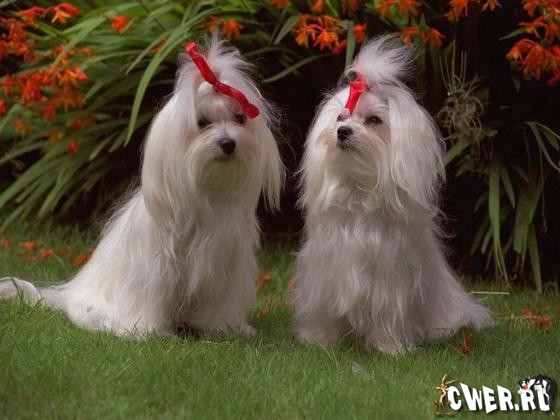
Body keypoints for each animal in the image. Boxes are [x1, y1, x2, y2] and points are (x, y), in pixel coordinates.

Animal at [0, 37, 284, 337]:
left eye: (240, 118)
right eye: (202, 122)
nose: (229, 143)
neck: (206, 192)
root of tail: (69, 294)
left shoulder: (226, 265)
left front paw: (224, 328)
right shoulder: (157, 267)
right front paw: (147, 332)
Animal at [294, 36, 493, 353]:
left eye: (374, 120)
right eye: (340, 117)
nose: (342, 131)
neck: (359, 187)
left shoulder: (391, 279)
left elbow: (387, 312)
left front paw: (389, 346)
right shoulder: (324, 271)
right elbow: (324, 311)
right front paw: (318, 339)